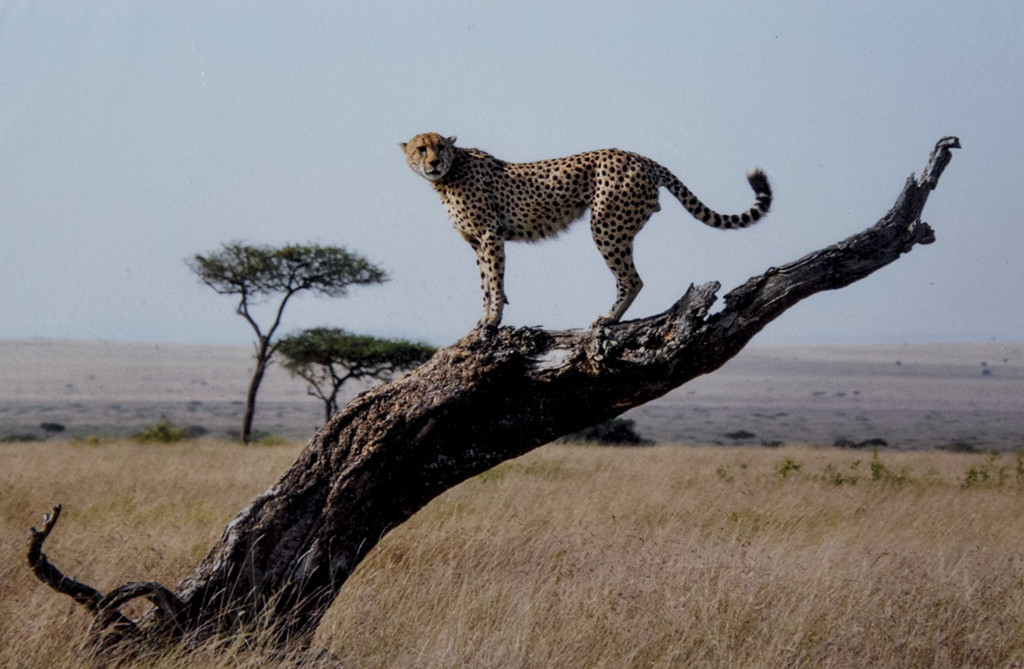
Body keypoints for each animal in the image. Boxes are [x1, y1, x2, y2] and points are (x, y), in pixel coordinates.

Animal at [403, 132, 770, 327]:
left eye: (440, 146)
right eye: (421, 148)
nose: (433, 162)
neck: (449, 176)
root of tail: (639, 157)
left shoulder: (491, 235)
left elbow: (495, 279)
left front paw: (493, 320)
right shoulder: (477, 242)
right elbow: (485, 282)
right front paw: (484, 319)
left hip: (606, 225)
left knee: (631, 279)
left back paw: (609, 318)